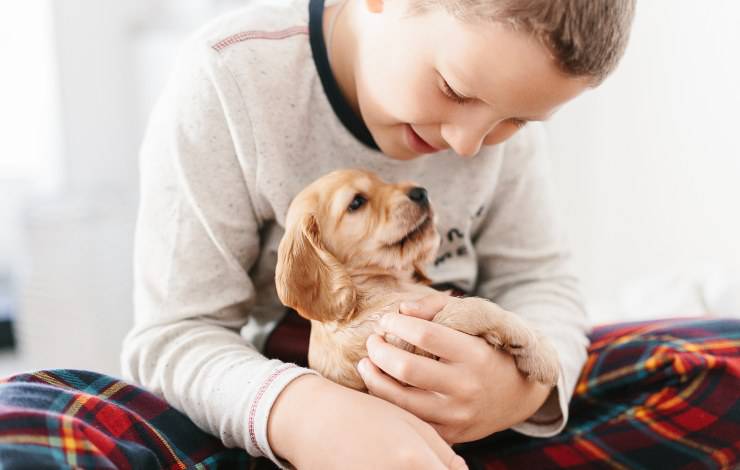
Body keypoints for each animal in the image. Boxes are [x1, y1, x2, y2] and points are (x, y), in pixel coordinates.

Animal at [274, 171, 556, 392]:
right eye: (357, 202)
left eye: (382, 181)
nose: (421, 192)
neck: (386, 282)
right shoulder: (407, 349)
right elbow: (468, 306)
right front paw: (536, 348)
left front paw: (538, 348)